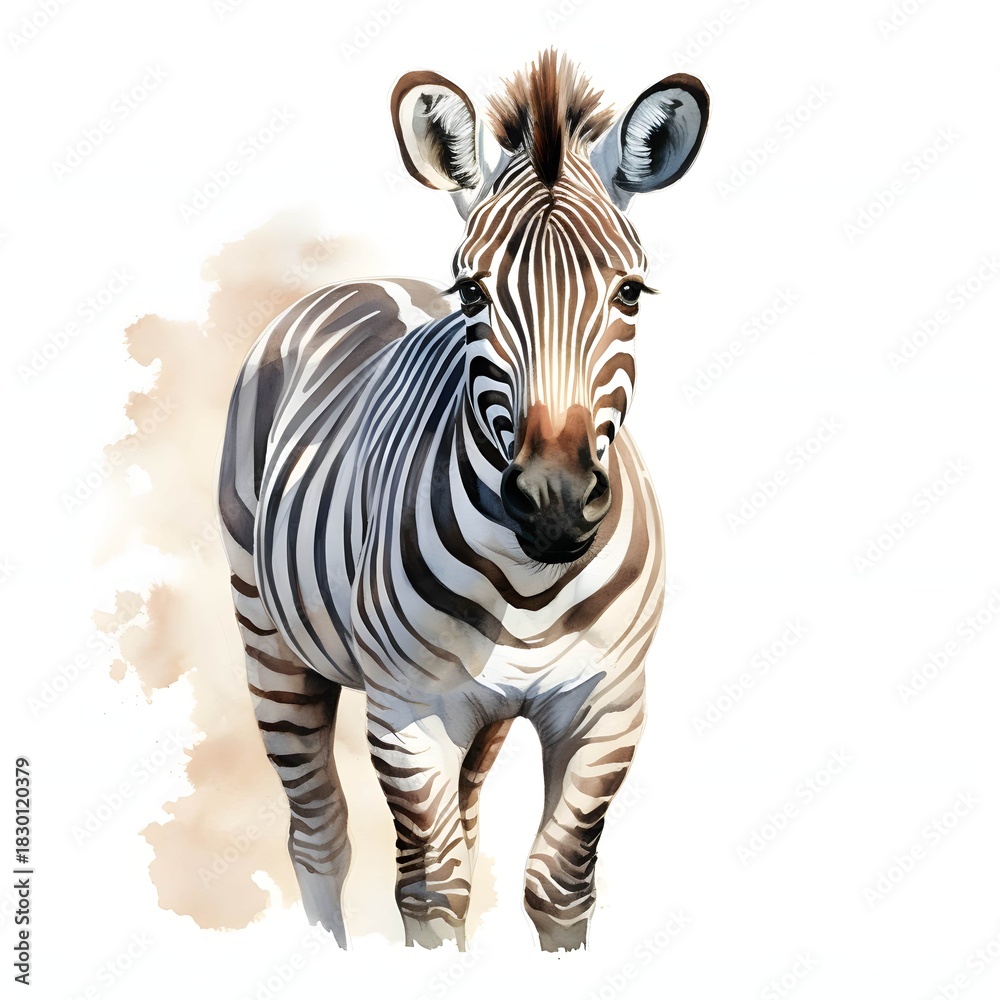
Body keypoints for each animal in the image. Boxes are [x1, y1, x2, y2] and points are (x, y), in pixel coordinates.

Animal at [218, 50, 708, 951]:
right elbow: (430, 890)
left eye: (630, 294)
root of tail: (365, 282)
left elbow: (561, 886)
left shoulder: (609, 707)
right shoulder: (408, 711)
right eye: (474, 295)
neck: (532, 587)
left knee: (470, 825)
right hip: (268, 635)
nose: (554, 502)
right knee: (319, 829)